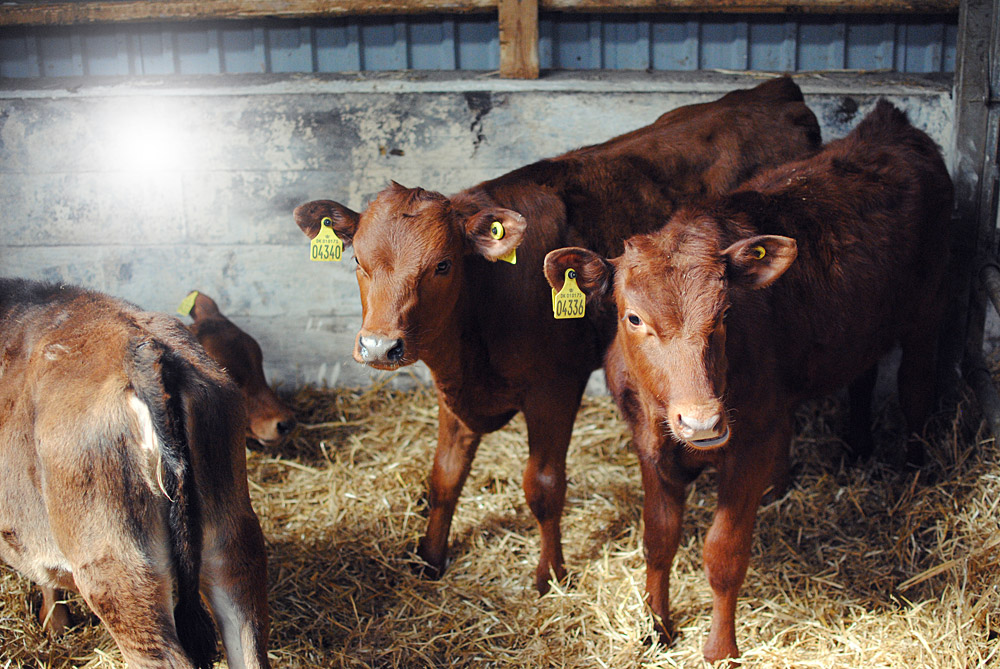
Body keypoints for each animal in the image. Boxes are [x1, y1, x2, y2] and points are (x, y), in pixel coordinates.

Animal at [294, 78, 820, 596]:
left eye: (442, 265)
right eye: (357, 260)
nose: (380, 347)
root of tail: (774, 88)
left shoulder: (555, 386)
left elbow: (544, 486)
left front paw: (550, 574)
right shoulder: (455, 391)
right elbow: (444, 477)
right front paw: (429, 558)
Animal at [548, 102, 952, 660]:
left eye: (724, 314)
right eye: (633, 317)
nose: (700, 422)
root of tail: (889, 125)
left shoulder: (753, 443)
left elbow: (723, 554)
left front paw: (720, 649)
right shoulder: (649, 445)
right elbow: (658, 541)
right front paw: (656, 629)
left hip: (928, 310)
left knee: (916, 387)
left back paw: (914, 473)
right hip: (859, 324)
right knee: (863, 377)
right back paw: (856, 449)